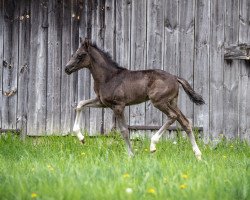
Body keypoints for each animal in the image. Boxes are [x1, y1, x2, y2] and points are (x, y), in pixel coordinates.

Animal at [65, 38, 205, 160]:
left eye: (80, 55)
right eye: (74, 54)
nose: (67, 68)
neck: (109, 77)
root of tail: (175, 77)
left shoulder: (118, 106)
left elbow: (124, 131)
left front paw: (131, 155)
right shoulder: (102, 102)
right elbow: (80, 104)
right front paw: (81, 137)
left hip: (159, 101)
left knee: (173, 116)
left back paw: (153, 145)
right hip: (172, 102)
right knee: (185, 122)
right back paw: (198, 155)